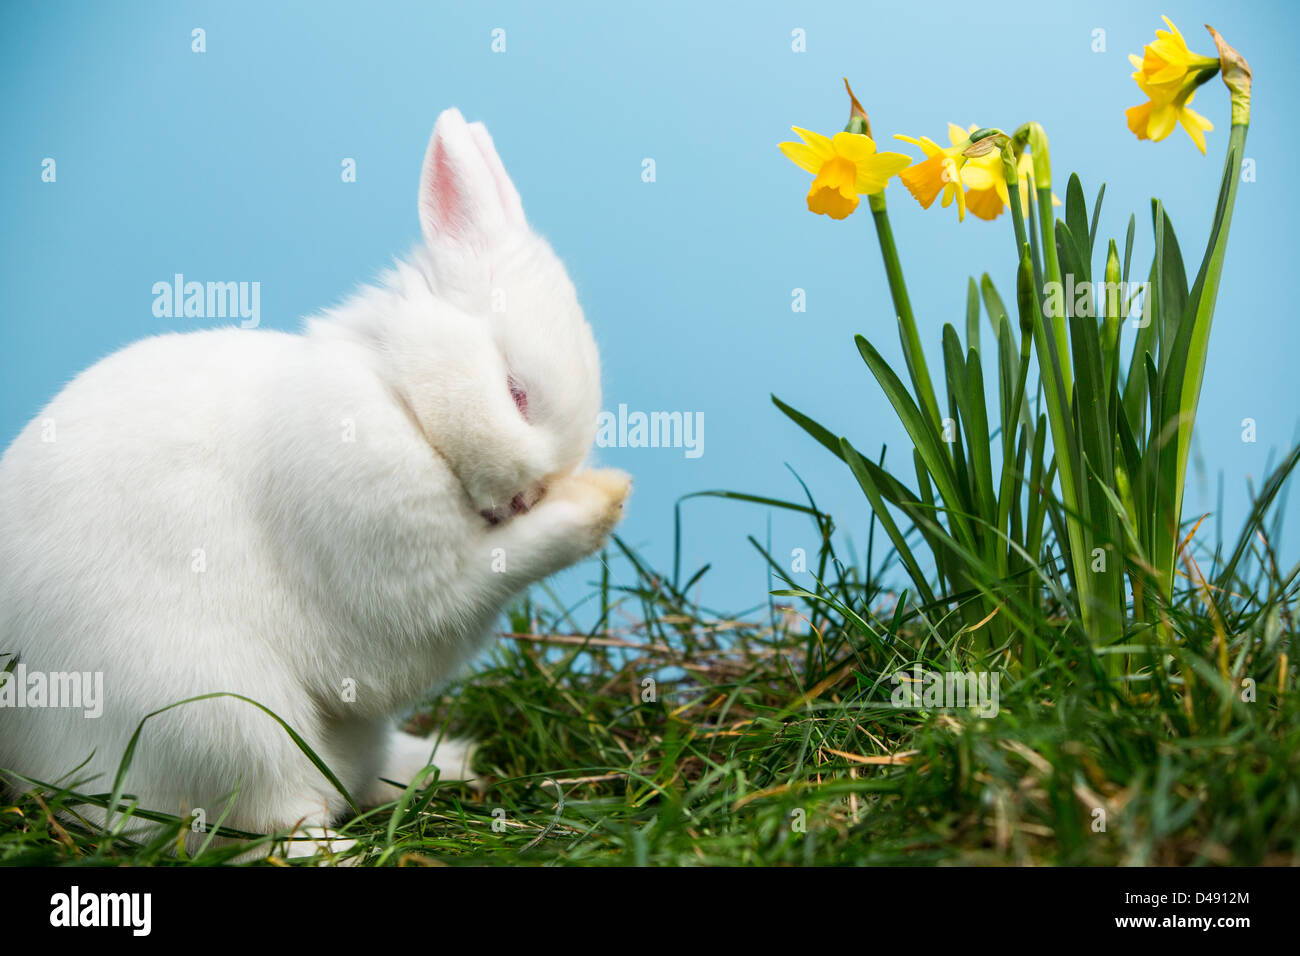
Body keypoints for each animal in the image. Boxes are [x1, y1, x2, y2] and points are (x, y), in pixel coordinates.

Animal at [0, 108, 629, 858]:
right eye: (516, 394)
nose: (525, 497)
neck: (401, 399)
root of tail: (30, 759)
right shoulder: (399, 587)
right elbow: (474, 585)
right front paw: (599, 505)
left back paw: (446, 762)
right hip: (221, 719)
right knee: (264, 822)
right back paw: (342, 849)